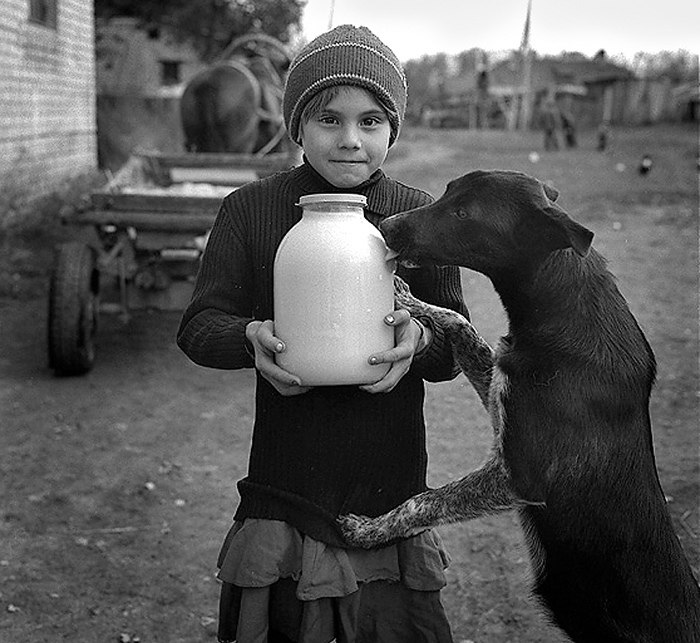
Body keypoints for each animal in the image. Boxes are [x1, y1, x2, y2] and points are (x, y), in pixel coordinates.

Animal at [340, 171, 700, 643]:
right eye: (448, 192)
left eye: (463, 213)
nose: (386, 225)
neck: (560, 307)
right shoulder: (500, 401)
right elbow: (462, 323)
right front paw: (409, 300)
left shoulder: (518, 475)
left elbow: (423, 501)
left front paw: (369, 530)